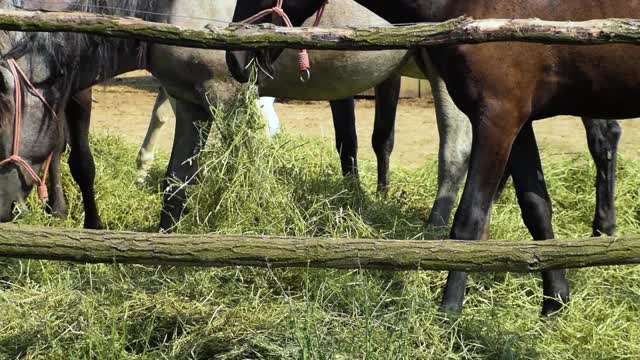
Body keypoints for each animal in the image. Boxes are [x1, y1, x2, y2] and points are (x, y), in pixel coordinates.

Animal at [225, 0, 632, 316]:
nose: (234, 56)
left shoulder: (498, 116)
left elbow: (467, 217)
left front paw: (449, 311)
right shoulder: (518, 118)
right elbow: (536, 207)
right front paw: (554, 302)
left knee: (601, 137)